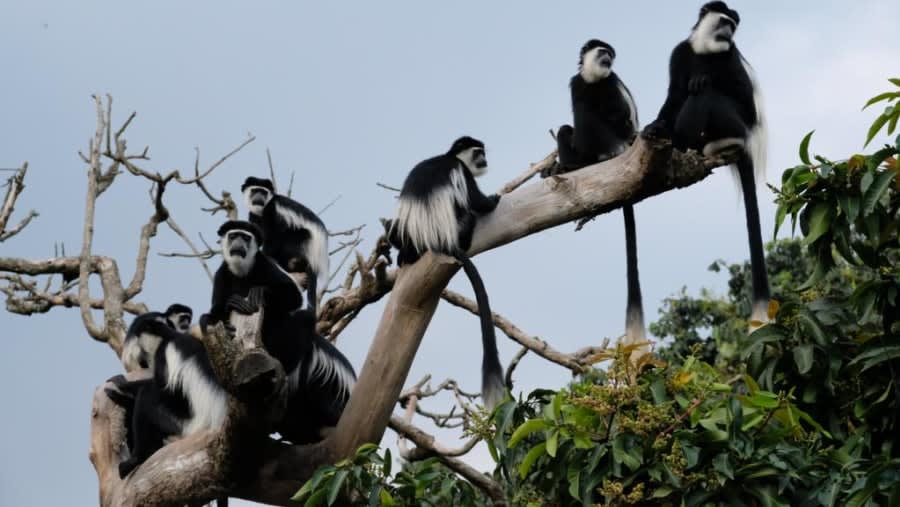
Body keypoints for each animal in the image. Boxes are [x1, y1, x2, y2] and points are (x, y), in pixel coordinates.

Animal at [241, 177, 330, 315]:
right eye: (255, 190)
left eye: (263, 192)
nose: (259, 197)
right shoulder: (254, 216)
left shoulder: (273, 210)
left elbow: (274, 237)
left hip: (303, 243)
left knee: (289, 235)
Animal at [387, 136, 505, 409]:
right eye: (478, 152)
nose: (485, 160)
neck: (450, 157)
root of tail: (438, 242)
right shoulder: (462, 173)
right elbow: (476, 200)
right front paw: (493, 199)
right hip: (459, 227)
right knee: (469, 215)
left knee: (396, 232)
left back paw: (405, 255)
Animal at [553, 39, 646, 347]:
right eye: (603, 52)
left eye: (610, 55)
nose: (609, 58)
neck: (593, 78)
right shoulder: (577, 82)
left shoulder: (610, 83)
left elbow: (613, 112)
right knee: (567, 127)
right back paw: (571, 164)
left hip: (616, 139)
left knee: (590, 116)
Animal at [643, 1, 770, 323]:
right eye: (724, 22)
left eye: (733, 27)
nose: (728, 33)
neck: (705, 51)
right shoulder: (679, 53)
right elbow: (674, 95)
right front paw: (655, 126)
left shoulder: (730, 55)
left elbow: (744, 101)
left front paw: (704, 77)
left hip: (737, 127)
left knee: (707, 94)